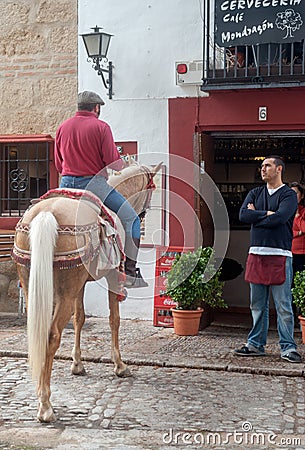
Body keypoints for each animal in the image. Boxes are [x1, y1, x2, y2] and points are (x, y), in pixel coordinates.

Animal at [12, 162, 162, 422]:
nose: (143, 216)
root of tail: (47, 213)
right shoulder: (112, 277)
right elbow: (114, 320)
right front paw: (120, 365)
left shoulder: (80, 285)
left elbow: (80, 319)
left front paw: (77, 364)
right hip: (64, 293)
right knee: (52, 335)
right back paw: (45, 405)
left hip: (35, 286)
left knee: (38, 333)